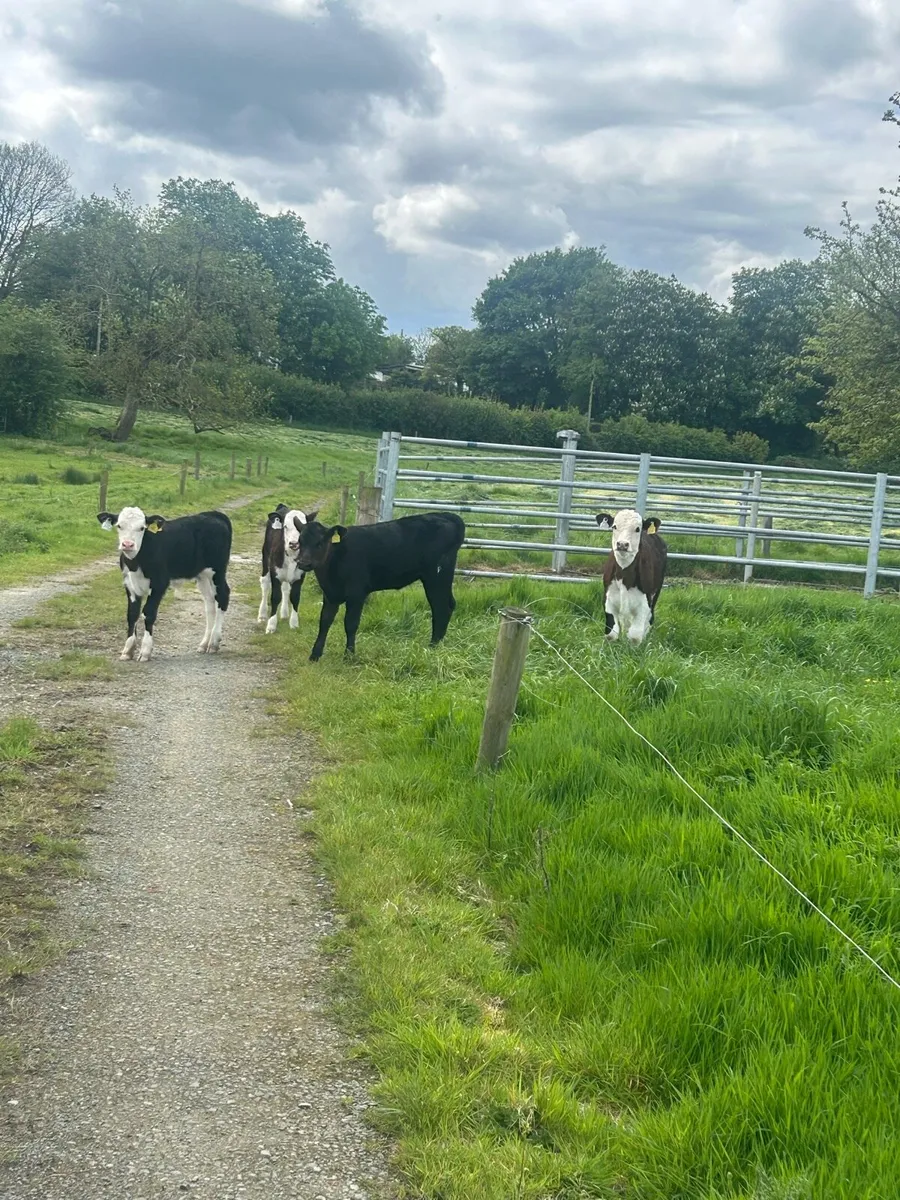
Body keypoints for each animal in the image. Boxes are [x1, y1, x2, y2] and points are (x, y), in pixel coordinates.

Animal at [97, 506, 232, 662]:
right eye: (119, 526)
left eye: (142, 528)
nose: (128, 544)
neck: (136, 563)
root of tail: (213, 514)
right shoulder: (129, 585)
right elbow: (132, 614)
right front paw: (128, 649)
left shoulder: (159, 584)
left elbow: (148, 613)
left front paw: (145, 651)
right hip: (202, 575)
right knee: (209, 602)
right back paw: (204, 643)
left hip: (218, 570)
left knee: (223, 596)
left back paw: (214, 642)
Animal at [257, 504, 318, 634]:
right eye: (285, 526)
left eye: (302, 528)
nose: (294, 544)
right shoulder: (275, 574)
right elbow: (275, 597)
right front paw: (271, 625)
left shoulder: (300, 576)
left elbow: (295, 597)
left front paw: (294, 623)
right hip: (265, 557)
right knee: (265, 585)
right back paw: (262, 615)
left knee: (285, 588)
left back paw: (284, 614)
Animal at [295, 511, 466, 661]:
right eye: (300, 542)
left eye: (320, 543)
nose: (303, 563)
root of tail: (447, 515)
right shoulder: (330, 595)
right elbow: (324, 621)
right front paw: (315, 654)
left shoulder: (357, 594)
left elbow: (350, 624)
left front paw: (349, 655)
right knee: (449, 605)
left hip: (436, 576)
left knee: (441, 608)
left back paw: (432, 647)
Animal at [595, 508, 667, 645]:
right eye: (614, 526)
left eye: (637, 529)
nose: (622, 544)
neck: (625, 577)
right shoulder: (608, 597)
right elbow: (611, 634)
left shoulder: (645, 602)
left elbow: (635, 636)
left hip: (657, 591)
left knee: (649, 619)